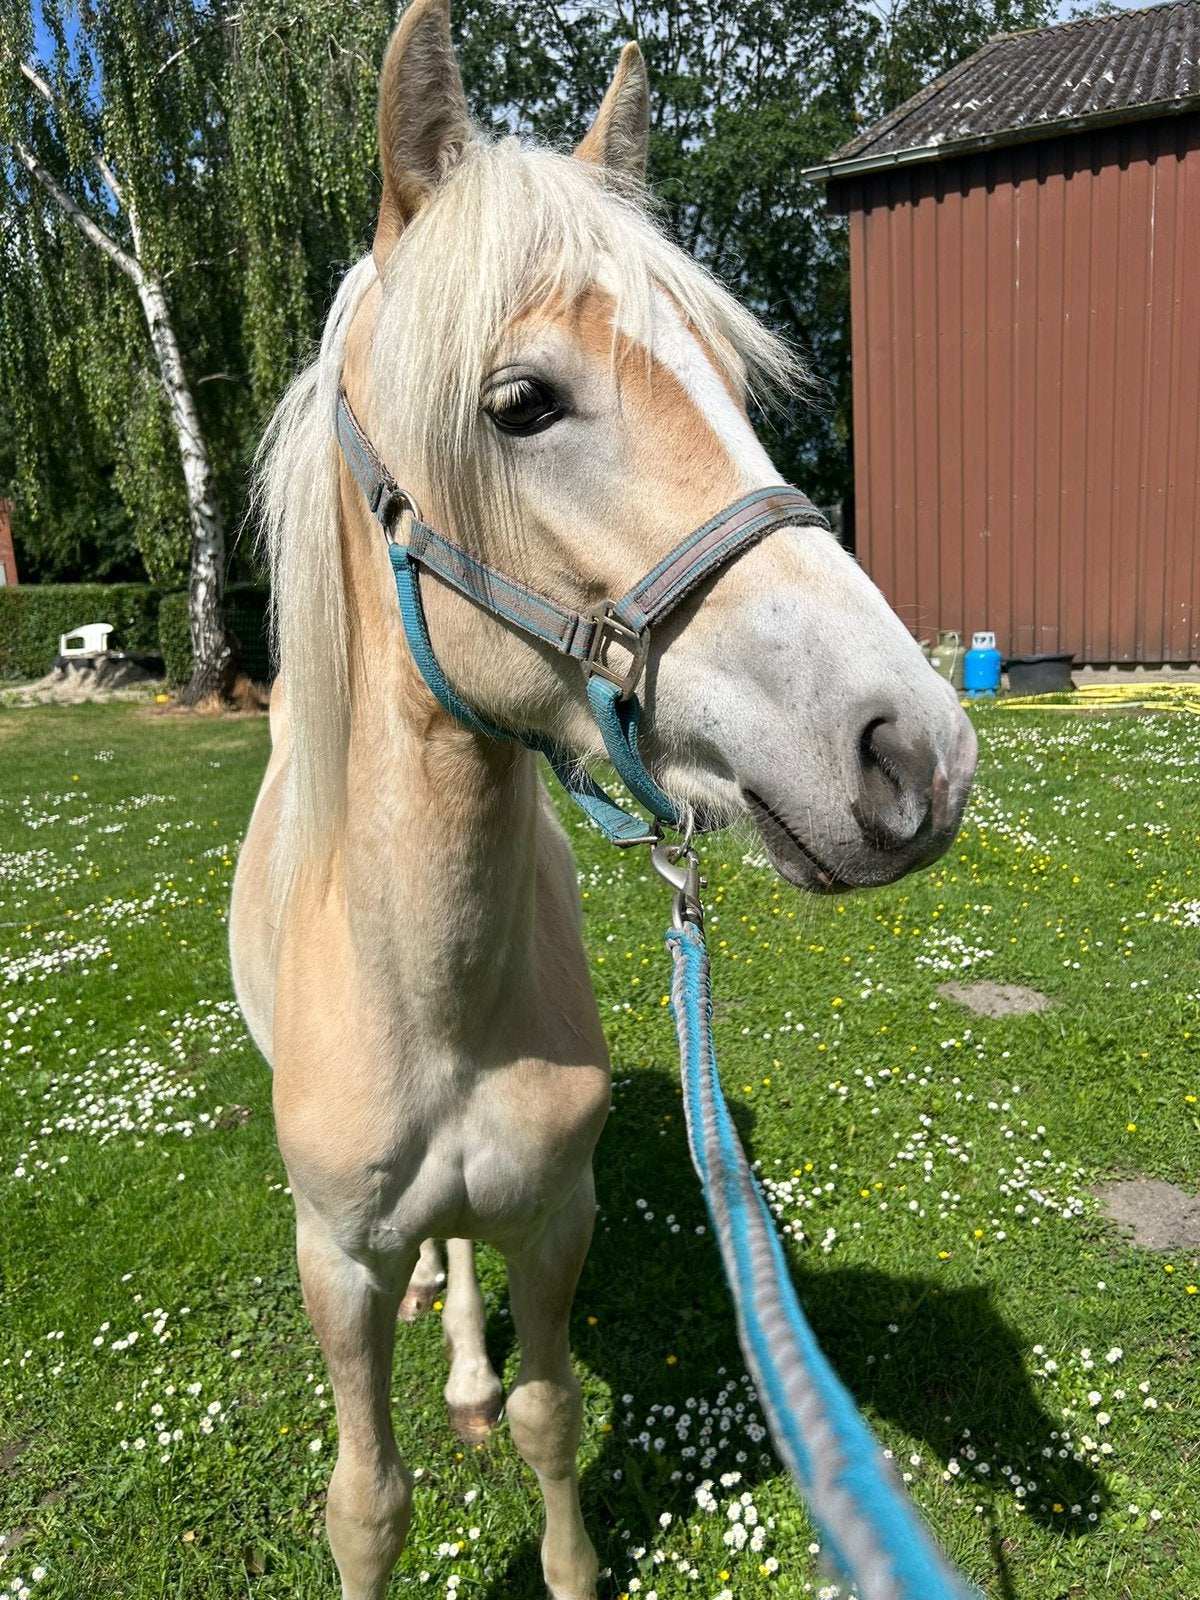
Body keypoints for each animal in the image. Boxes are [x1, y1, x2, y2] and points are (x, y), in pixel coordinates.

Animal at [229, 3, 977, 1596]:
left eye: (736, 390)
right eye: (519, 401)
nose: (915, 754)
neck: (432, 992)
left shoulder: (553, 1219)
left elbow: (550, 1418)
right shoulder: (336, 1262)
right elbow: (366, 1502)